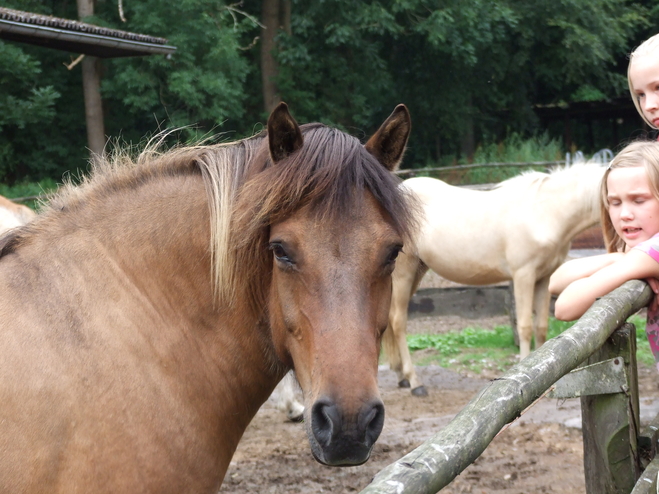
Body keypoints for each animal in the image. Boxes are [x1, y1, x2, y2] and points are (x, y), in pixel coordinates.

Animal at [384, 163, 604, 398]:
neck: (544, 213)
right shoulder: (523, 275)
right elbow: (525, 327)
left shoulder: (544, 278)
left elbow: (541, 327)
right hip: (403, 272)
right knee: (398, 322)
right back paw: (415, 382)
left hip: (417, 270)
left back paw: (401, 376)